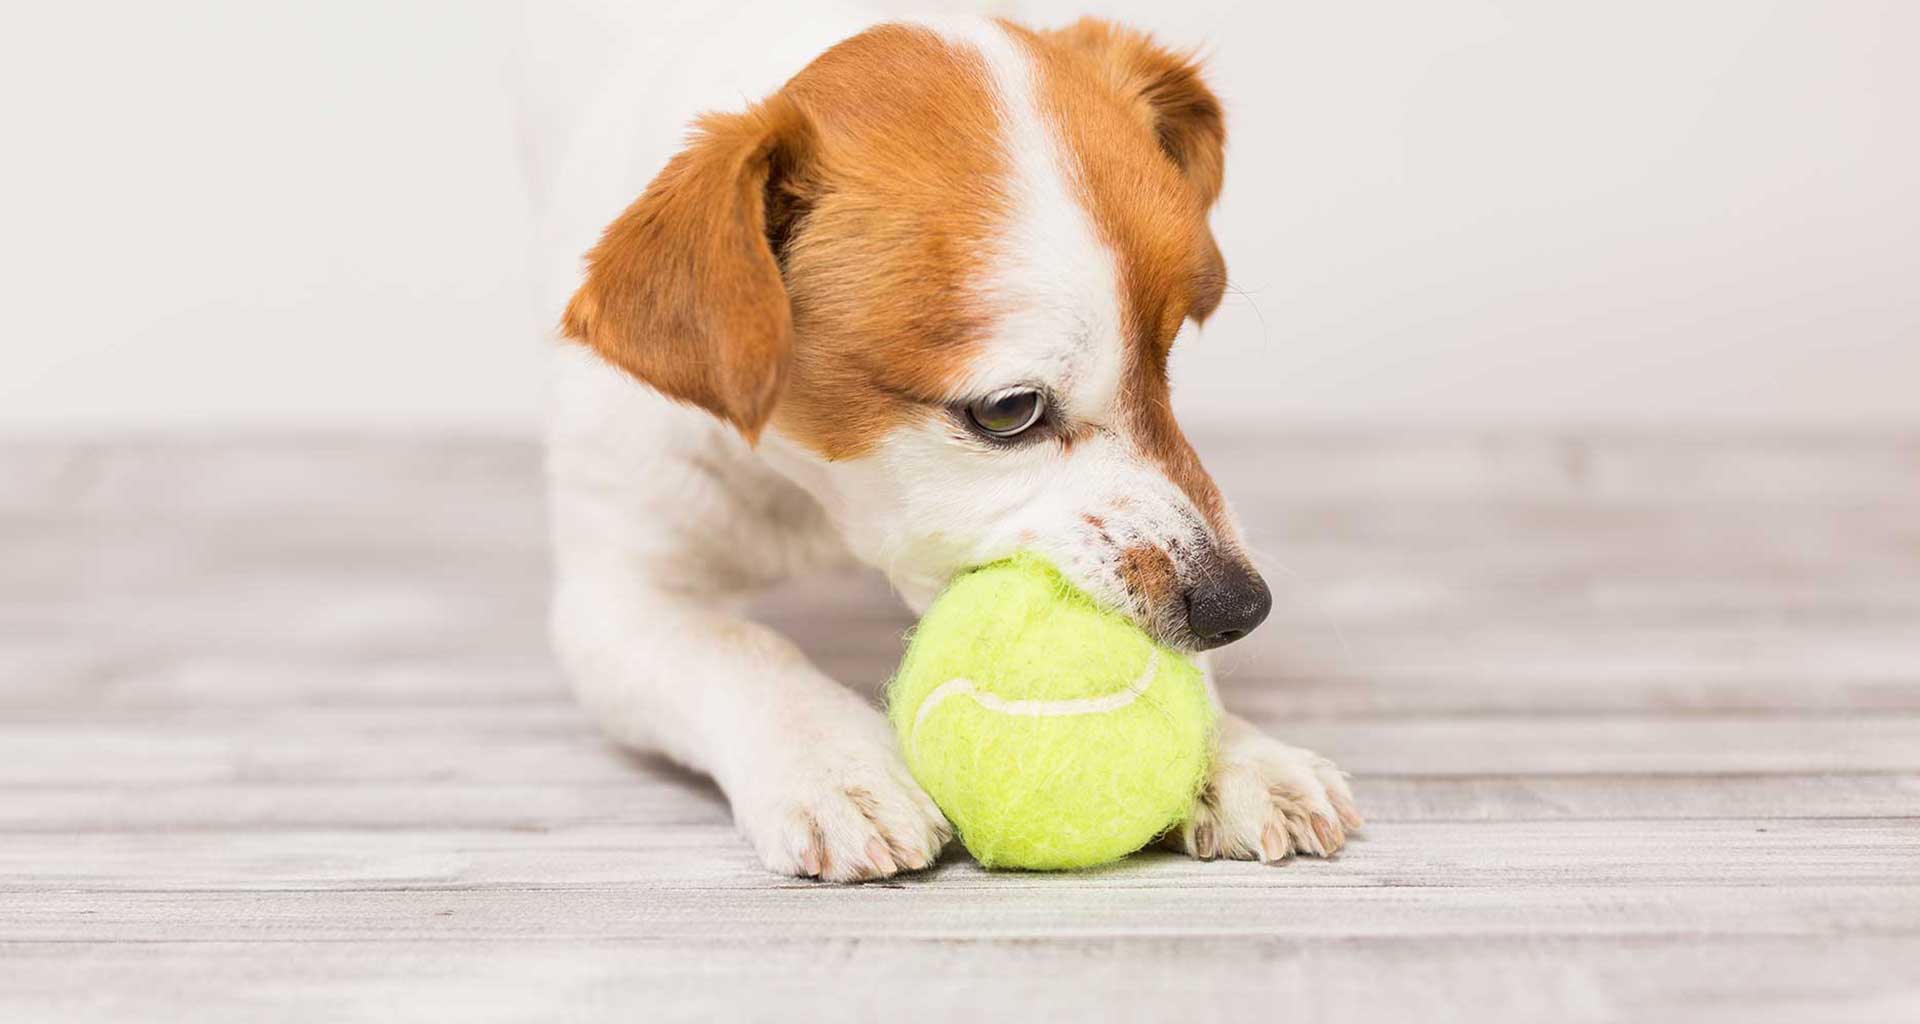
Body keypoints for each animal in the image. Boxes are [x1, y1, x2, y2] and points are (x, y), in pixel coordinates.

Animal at [541, 13, 1359, 879]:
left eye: (1165, 357)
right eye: (1008, 410)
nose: (1240, 605)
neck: (813, 496)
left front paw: (1232, 751)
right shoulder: (615, 602)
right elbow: (741, 649)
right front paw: (832, 761)